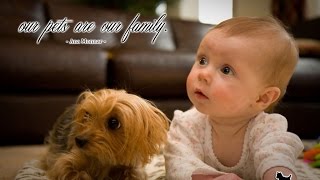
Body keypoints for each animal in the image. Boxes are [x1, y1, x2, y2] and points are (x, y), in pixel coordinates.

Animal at [40, 89, 170, 180]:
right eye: (87, 115)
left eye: (113, 123)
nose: (79, 140)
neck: (104, 159)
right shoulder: (65, 163)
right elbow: (69, 170)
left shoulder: (131, 167)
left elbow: (134, 174)